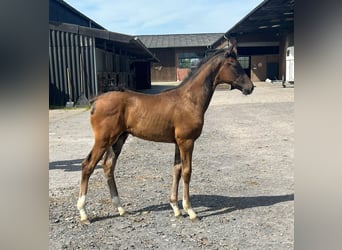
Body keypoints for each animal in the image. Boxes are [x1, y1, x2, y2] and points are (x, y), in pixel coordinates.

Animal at [77, 43, 254, 225]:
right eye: (233, 64)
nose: (250, 87)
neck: (190, 100)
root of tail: (96, 100)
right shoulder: (187, 141)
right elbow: (187, 171)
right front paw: (190, 210)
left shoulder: (178, 142)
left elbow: (176, 170)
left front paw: (176, 208)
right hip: (104, 140)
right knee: (87, 165)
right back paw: (84, 213)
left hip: (119, 139)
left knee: (108, 165)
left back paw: (120, 208)